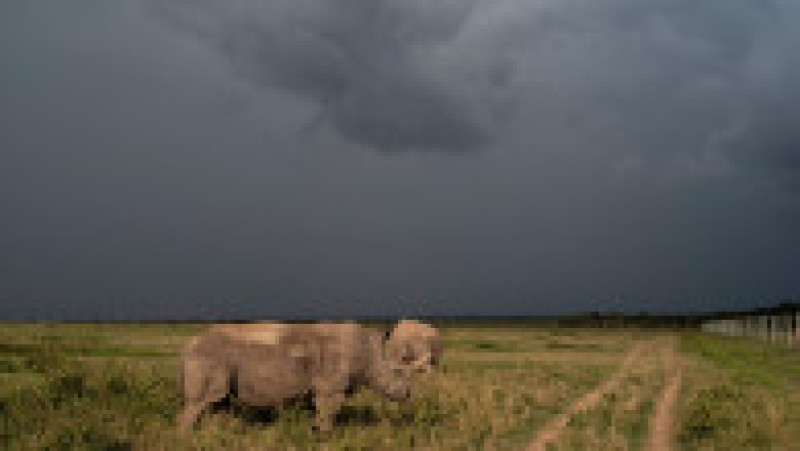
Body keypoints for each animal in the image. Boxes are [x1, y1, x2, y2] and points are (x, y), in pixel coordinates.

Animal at [176, 322, 412, 434]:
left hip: (213, 357)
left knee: (216, 402)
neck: (370, 354)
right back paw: (186, 437)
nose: (408, 393)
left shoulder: (317, 387)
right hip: (208, 355)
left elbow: (318, 412)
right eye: (397, 372)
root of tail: (190, 343)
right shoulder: (331, 388)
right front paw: (327, 435)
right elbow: (329, 412)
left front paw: (314, 432)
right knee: (202, 401)